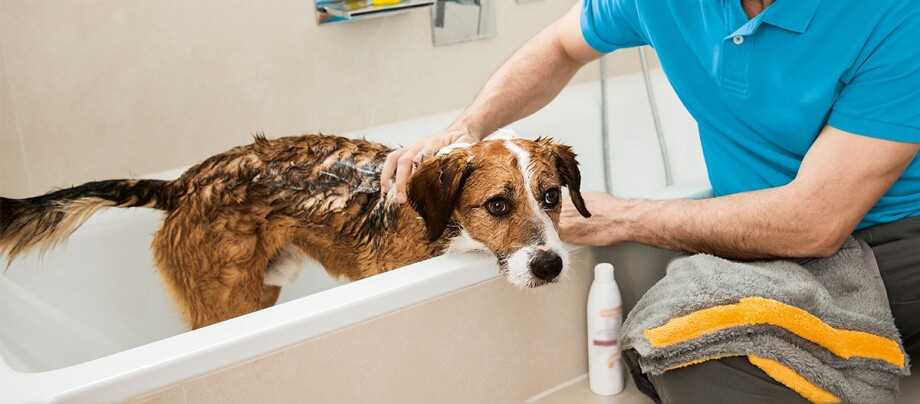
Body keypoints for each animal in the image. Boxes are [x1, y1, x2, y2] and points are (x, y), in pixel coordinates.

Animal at [0, 134, 588, 330]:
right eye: (497, 205)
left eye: (552, 197)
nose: (550, 265)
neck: (441, 228)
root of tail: (186, 183)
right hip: (226, 304)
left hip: (259, 290)